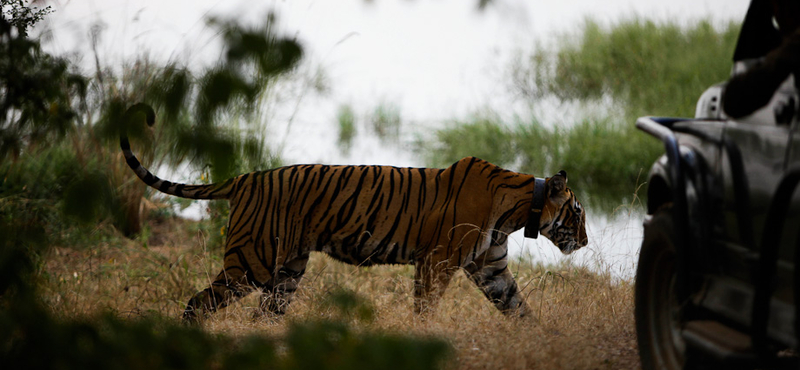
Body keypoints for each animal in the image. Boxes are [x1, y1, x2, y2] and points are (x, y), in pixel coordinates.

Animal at [119, 103, 588, 320]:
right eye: (579, 213)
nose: (585, 242)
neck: (519, 210)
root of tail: (247, 177)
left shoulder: (491, 268)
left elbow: (520, 309)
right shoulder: (437, 263)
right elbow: (425, 309)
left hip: (287, 270)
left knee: (264, 314)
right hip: (250, 262)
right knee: (197, 304)